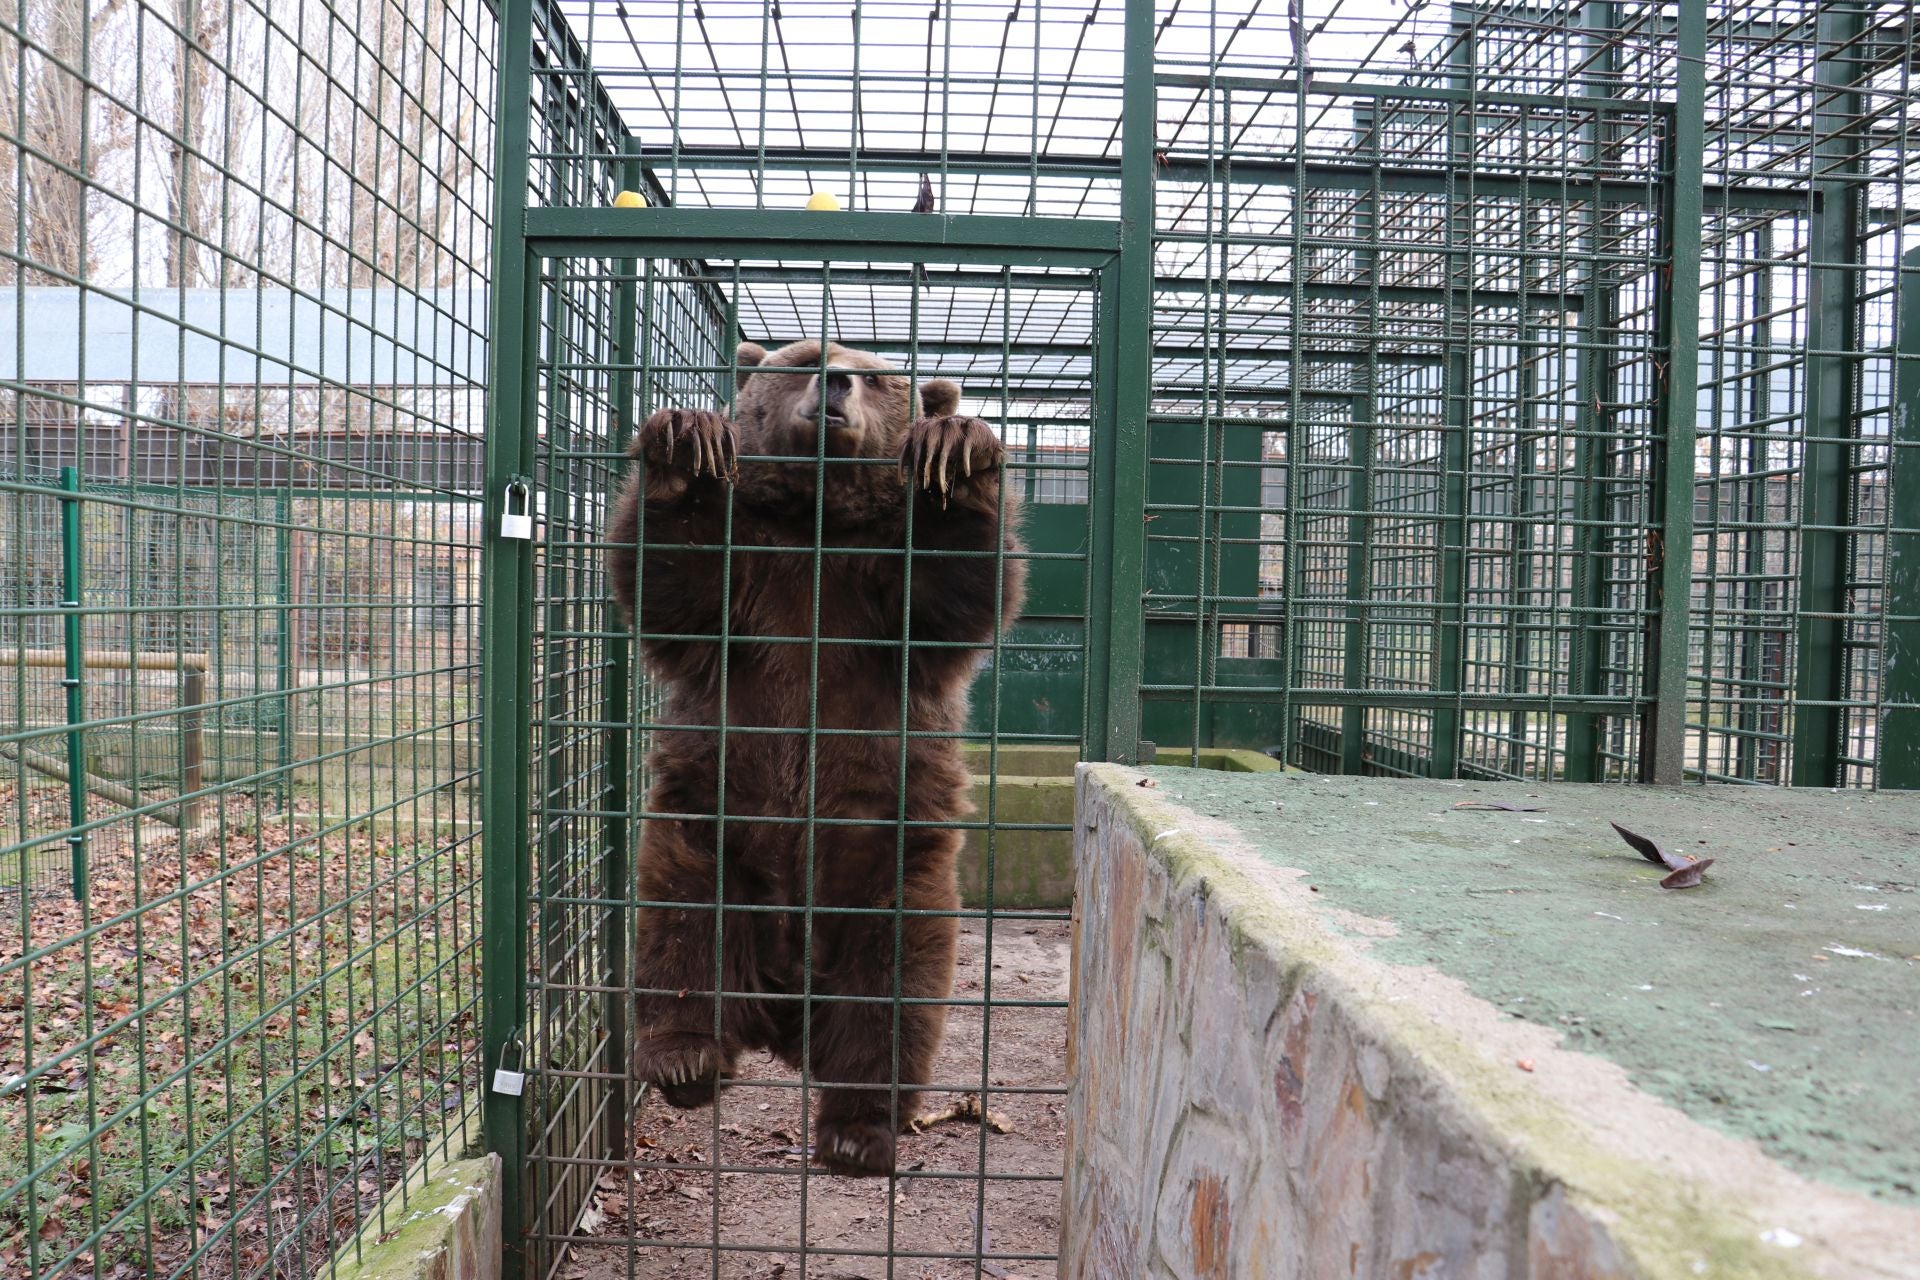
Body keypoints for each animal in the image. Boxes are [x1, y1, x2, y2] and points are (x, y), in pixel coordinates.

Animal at [606, 335, 1029, 1174]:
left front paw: (956, 449)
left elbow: (957, 589)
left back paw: (855, 1132)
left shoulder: (878, 599)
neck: (817, 521)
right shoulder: (751, 581)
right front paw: (687, 442)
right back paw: (685, 1061)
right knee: (680, 939)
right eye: (806, 359)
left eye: (874, 375)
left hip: (893, 878)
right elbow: (674, 577)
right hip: (707, 837)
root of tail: (783, 1009)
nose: (835, 384)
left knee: (888, 1004)